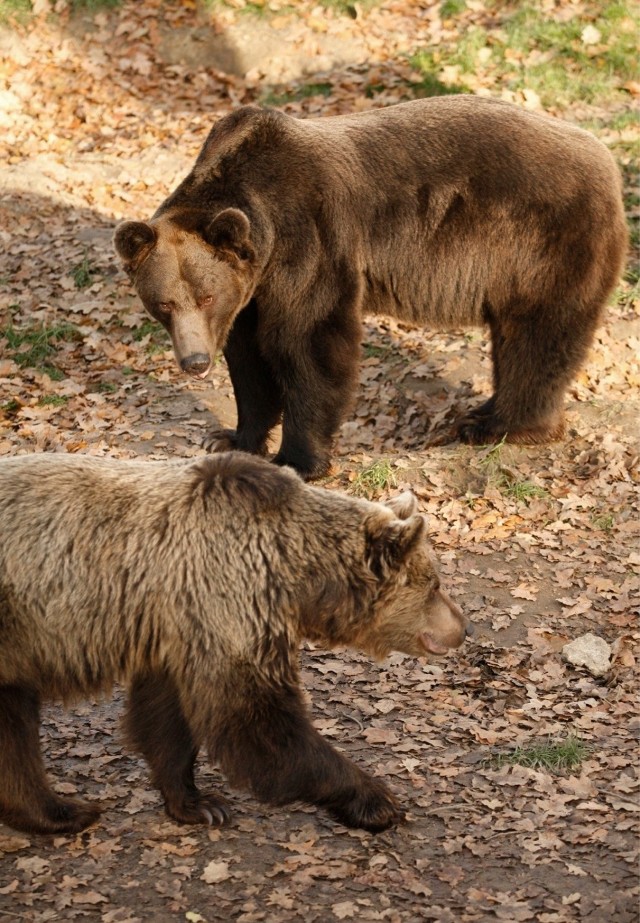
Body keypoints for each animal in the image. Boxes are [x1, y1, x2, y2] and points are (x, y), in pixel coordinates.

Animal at [1, 452, 470, 836]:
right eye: (435, 584)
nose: (463, 626)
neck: (297, 576)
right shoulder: (226, 593)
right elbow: (256, 719)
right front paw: (377, 799)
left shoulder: (178, 625)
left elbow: (167, 717)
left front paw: (198, 804)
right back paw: (67, 811)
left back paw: (52, 811)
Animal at [114, 96, 624, 480]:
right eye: (163, 304)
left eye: (205, 295)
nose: (195, 362)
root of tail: (608, 161)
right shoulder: (251, 291)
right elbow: (250, 360)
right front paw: (229, 437)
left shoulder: (310, 240)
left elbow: (309, 341)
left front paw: (297, 459)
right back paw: (484, 412)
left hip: (539, 244)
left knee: (536, 335)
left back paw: (500, 425)